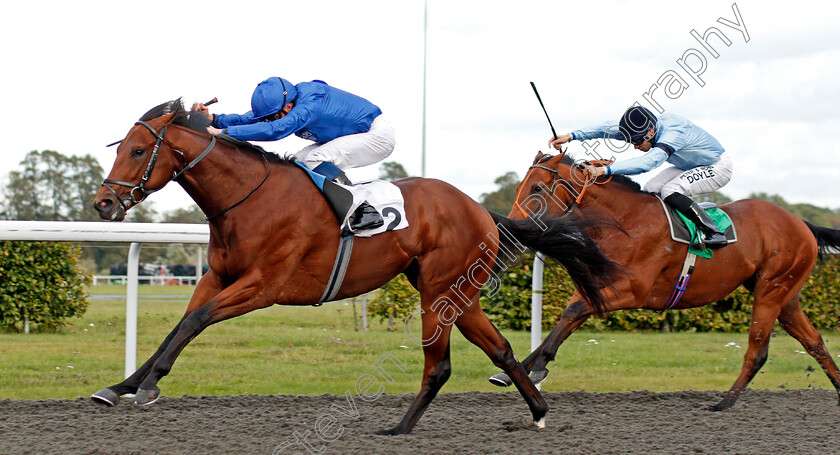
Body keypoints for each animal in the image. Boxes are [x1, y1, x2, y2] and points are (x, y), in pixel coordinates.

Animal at [92, 101, 620, 436]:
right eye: (118, 147)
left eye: (137, 151)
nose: (103, 203)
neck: (249, 198)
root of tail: (480, 211)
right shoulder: (217, 277)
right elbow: (179, 325)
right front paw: (119, 387)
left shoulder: (262, 286)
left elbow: (195, 322)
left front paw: (149, 386)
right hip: (455, 293)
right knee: (501, 350)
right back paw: (538, 412)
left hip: (437, 292)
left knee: (440, 365)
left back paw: (399, 428)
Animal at [488, 151, 840, 412]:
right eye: (519, 188)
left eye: (536, 189)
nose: (508, 232)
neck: (626, 222)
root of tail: (801, 222)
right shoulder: (600, 287)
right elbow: (566, 319)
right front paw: (511, 373)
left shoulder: (633, 292)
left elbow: (572, 314)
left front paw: (537, 368)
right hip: (785, 296)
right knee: (814, 342)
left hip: (771, 290)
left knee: (758, 351)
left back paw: (723, 403)